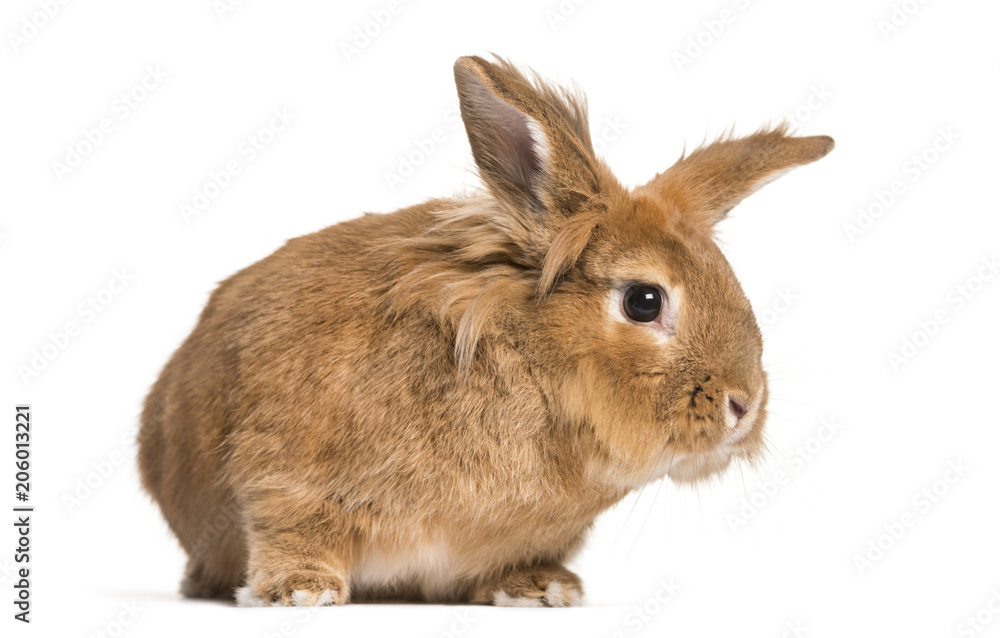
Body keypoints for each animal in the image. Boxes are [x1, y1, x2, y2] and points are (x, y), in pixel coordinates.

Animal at [137, 55, 834, 607]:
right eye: (644, 301)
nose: (744, 404)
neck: (529, 365)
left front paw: (545, 589)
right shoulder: (283, 474)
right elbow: (289, 525)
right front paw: (300, 591)